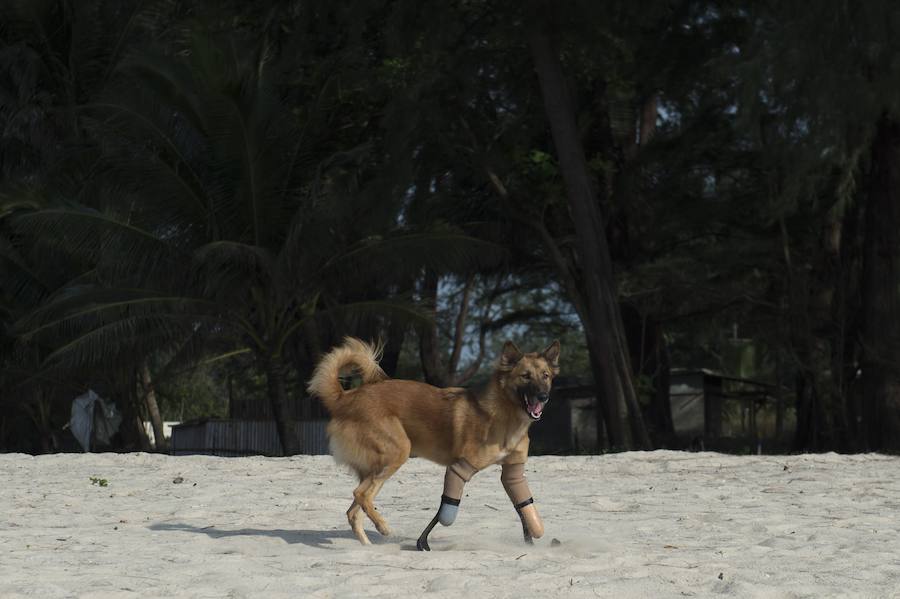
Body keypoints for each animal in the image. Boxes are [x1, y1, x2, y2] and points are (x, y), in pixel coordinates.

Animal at [310, 338, 564, 548]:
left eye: (545, 375)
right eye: (525, 376)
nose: (543, 397)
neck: (505, 414)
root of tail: (345, 398)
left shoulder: (512, 470)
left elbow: (523, 507)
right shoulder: (460, 467)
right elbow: (445, 509)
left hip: (378, 468)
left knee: (355, 509)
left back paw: (368, 546)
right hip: (397, 452)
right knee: (360, 495)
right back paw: (383, 528)